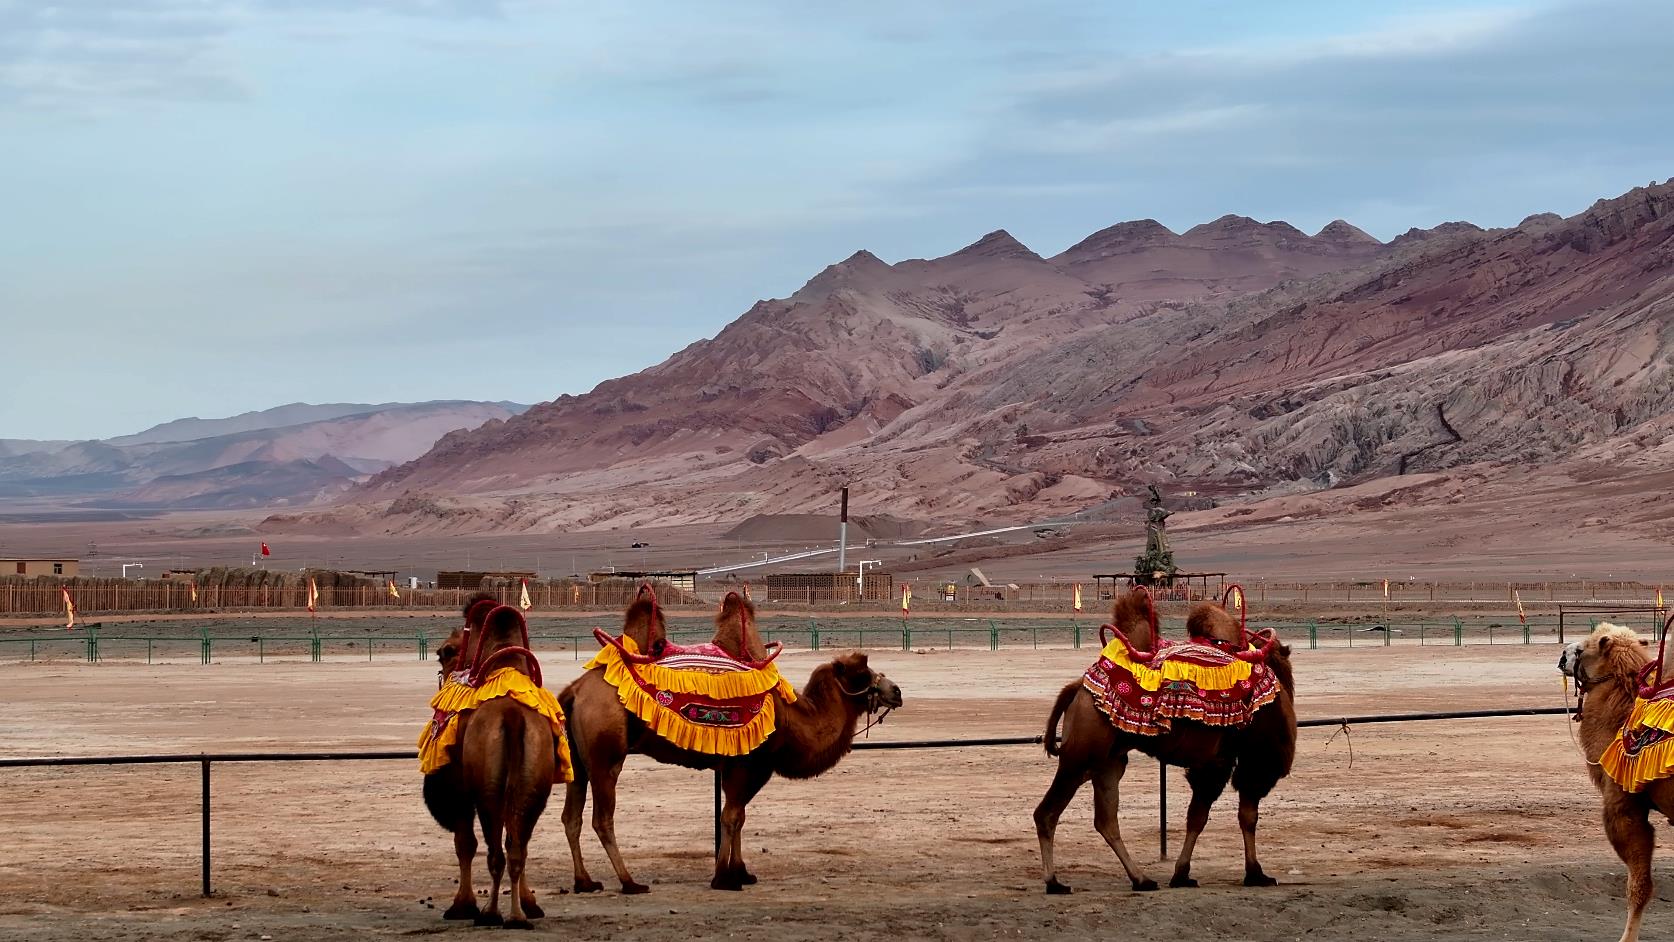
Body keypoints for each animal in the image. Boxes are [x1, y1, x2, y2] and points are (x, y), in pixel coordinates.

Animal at [428, 602, 559, 930]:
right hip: (532, 787)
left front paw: (462, 906)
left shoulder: (461, 788)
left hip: (487, 791)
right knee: (517, 846)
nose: (446, 675)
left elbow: (464, 842)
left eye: (446, 651)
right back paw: (518, 916)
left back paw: (491, 914)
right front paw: (530, 903)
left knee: (494, 850)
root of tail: (512, 718)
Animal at [562, 592, 903, 896]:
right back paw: (629, 882)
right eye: (862, 673)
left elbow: (737, 816)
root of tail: (574, 691)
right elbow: (731, 816)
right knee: (602, 819)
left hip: (579, 760)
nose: (896, 691)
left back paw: (585, 882)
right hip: (606, 756)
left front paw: (741, 871)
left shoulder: (736, 764)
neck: (793, 718)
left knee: (571, 817)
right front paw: (724, 878)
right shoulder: (751, 763)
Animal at [1031, 585, 1292, 896]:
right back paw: (1054, 882)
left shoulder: (1216, 762)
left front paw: (1183, 874)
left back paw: (1141, 879)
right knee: (1047, 813)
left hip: (1109, 761)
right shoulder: (1246, 760)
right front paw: (1255, 873)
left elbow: (1201, 816)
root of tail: (1078, 688)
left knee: (1106, 820)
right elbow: (1239, 816)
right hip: (1080, 756)